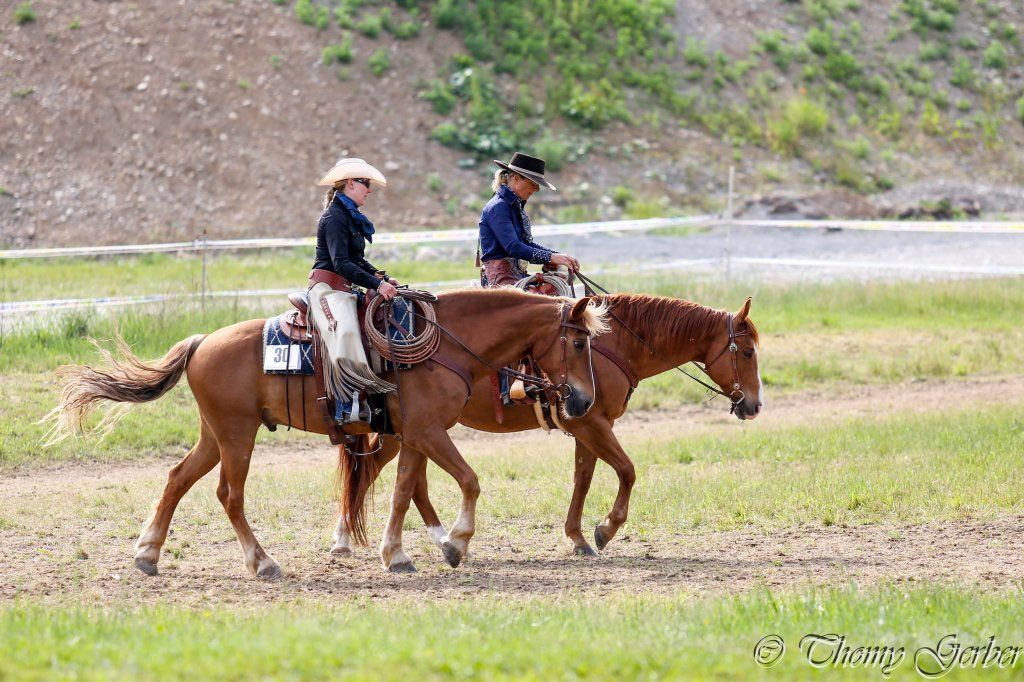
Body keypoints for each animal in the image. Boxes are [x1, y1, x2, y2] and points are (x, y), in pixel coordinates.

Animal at [44, 288, 608, 578]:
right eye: (580, 343)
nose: (583, 401)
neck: (446, 345)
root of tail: (203, 341)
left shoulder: (415, 435)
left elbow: (403, 492)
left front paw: (398, 554)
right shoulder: (429, 432)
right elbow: (468, 481)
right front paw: (456, 542)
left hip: (214, 436)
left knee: (177, 478)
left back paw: (147, 554)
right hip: (236, 436)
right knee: (228, 494)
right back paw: (262, 562)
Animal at [331, 294, 762, 571]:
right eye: (746, 352)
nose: (756, 405)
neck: (611, 346)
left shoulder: (587, 422)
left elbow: (583, 477)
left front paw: (579, 538)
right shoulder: (590, 422)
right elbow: (626, 470)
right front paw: (604, 530)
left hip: (409, 431)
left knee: (401, 479)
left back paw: (437, 541)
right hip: (412, 429)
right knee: (370, 473)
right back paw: (349, 542)